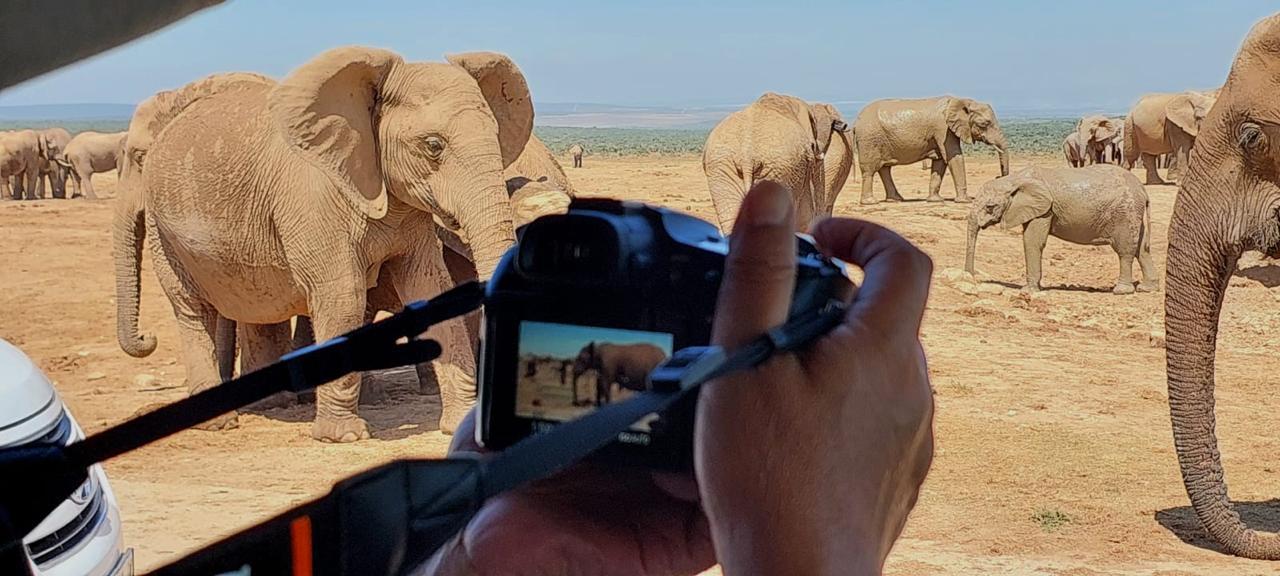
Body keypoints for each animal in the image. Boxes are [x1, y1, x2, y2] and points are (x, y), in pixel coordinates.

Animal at [115, 47, 532, 442]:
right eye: (433, 146)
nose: (146, 338)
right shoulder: (313, 197)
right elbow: (343, 297)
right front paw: (343, 435)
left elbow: (430, 287)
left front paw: (457, 422)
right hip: (163, 226)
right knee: (191, 307)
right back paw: (221, 422)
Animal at [854, 96, 1010, 205]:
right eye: (984, 124)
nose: (998, 177)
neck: (961, 101)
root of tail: (856, 122)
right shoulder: (943, 129)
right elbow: (954, 157)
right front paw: (965, 201)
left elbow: (940, 162)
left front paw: (935, 200)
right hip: (869, 139)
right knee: (870, 170)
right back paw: (870, 202)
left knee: (885, 169)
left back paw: (896, 200)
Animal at [965, 164, 1156, 294]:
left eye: (990, 207)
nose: (971, 276)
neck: (1014, 179)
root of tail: (1143, 190)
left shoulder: (1045, 210)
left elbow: (1032, 241)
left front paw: (1028, 291)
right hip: (1133, 214)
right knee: (1142, 249)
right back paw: (1147, 288)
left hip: (1125, 213)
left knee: (1125, 250)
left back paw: (1121, 291)